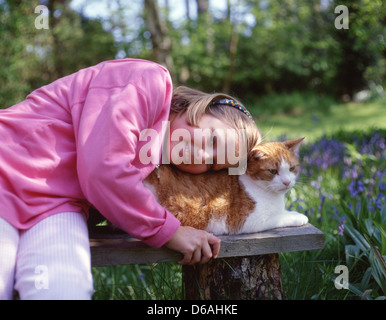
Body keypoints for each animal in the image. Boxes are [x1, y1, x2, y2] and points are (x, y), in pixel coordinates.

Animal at [143, 138, 310, 235]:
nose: (287, 182)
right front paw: (298, 216)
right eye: (273, 171)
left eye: (292, 168)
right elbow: (280, 217)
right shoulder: (249, 221)